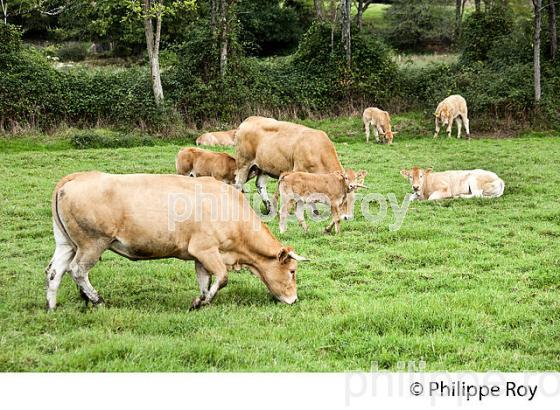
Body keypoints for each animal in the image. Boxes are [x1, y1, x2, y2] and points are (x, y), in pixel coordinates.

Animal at [44, 172, 308, 310]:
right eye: (292, 271)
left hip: (67, 244)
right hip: (92, 243)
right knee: (77, 270)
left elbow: (204, 280)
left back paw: (52, 306)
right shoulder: (207, 249)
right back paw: (97, 299)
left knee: (55, 272)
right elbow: (222, 278)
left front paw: (200, 300)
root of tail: (75, 177)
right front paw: (202, 301)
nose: (294, 300)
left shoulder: (200, 255)